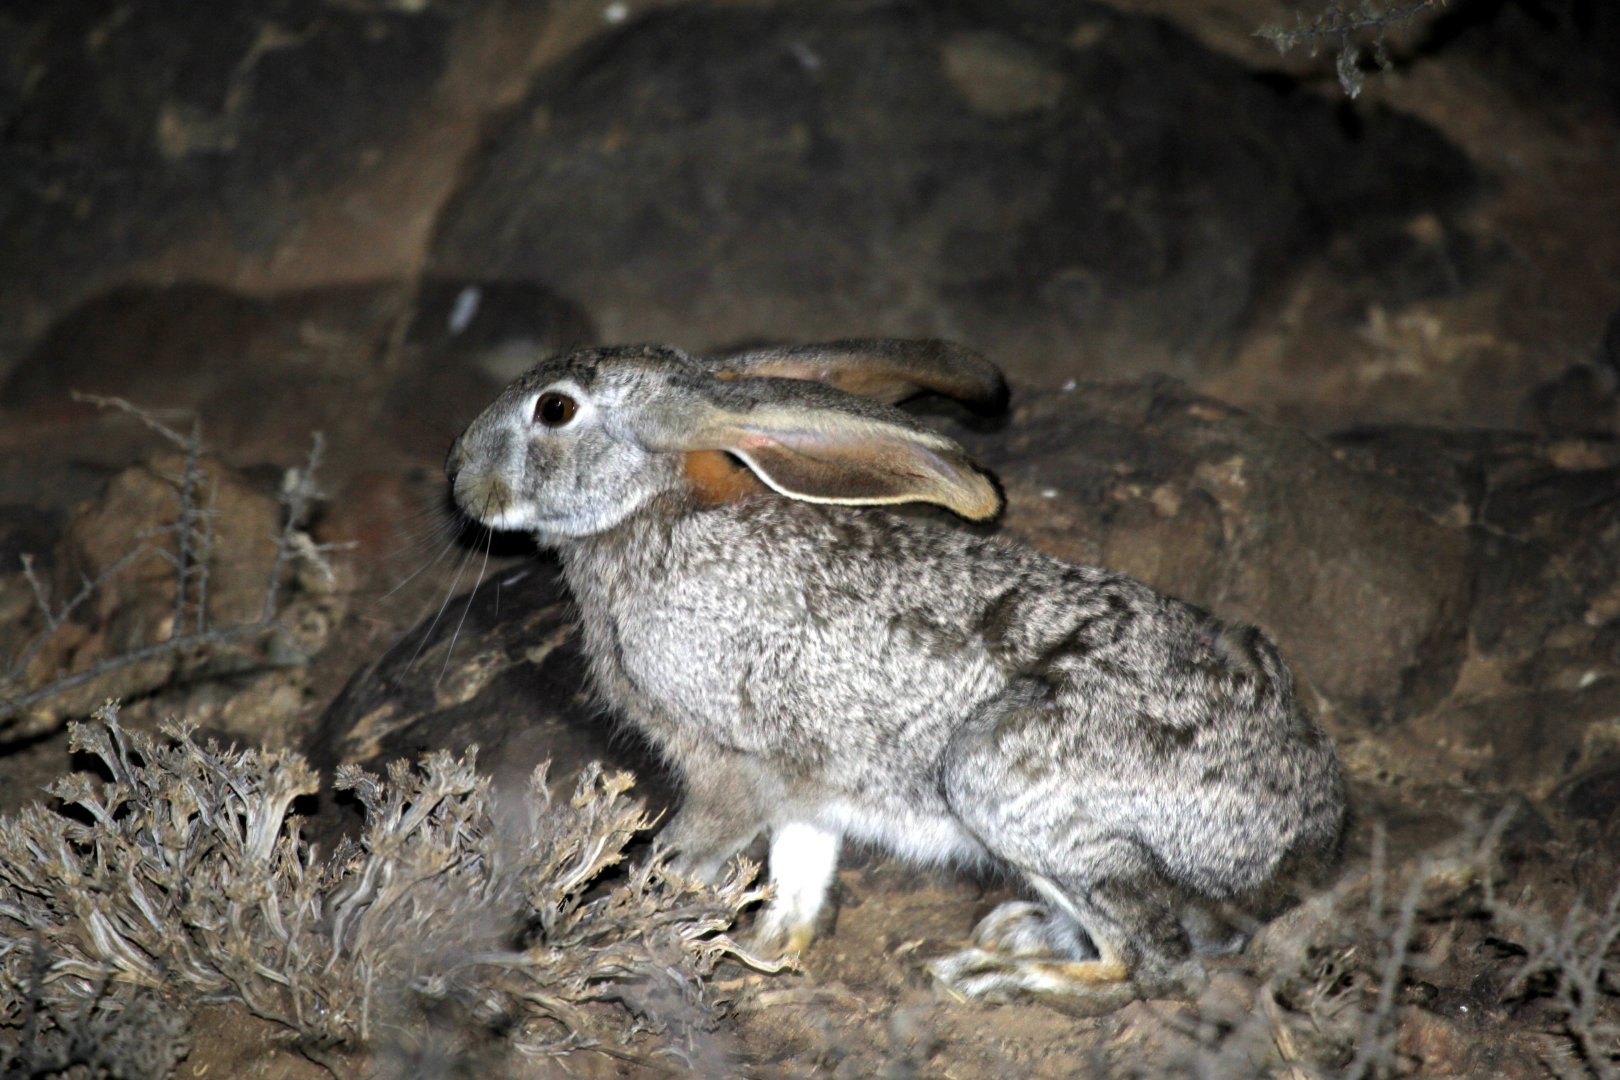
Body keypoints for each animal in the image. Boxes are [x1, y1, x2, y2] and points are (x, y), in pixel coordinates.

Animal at [445, 338, 1346, 1014]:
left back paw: (996, 974)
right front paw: (764, 952)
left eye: (555, 409)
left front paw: (617, 925)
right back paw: (1022, 934)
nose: (458, 478)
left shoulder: (728, 764)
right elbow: (800, 871)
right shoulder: (805, 786)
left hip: (1000, 777)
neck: (650, 510)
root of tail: (1311, 828)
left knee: (1156, 963)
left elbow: (689, 854)